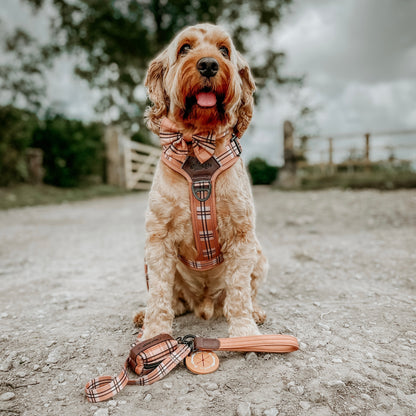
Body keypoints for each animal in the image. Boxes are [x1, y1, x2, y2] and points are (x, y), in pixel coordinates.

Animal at [135, 22, 268, 340]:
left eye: (224, 50)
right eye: (185, 48)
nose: (208, 64)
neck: (197, 144)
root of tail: (204, 304)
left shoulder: (242, 236)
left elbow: (240, 292)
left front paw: (245, 333)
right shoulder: (157, 240)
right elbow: (159, 295)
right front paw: (154, 336)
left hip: (260, 255)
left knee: (246, 293)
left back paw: (256, 313)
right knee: (173, 300)